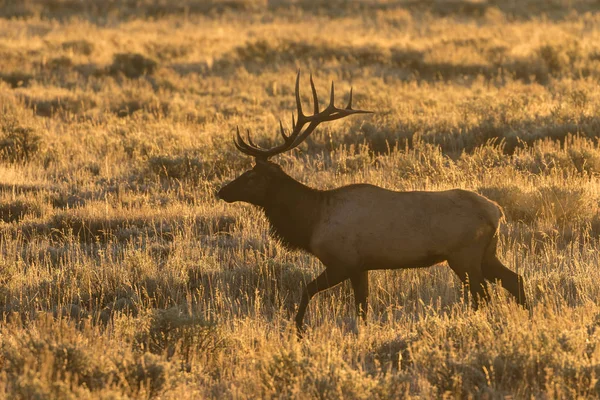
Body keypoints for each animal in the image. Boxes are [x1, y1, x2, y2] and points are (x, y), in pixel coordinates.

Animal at [218, 72, 528, 334]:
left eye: (252, 176)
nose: (222, 191)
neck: (312, 220)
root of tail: (497, 212)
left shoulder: (343, 261)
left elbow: (308, 290)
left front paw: (298, 330)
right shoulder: (362, 267)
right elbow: (362, 309)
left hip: (464, 255)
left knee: (484, 295)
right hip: (487, 253)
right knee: (515, 280)